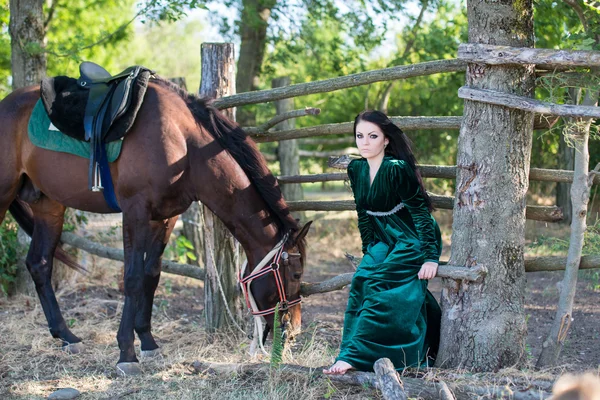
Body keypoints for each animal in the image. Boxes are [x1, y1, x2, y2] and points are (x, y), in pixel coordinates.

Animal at [0, 77, 310, 376]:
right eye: (295, 275)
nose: (294, 329)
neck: (184, 145)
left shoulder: (165, 218)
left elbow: (151, 274)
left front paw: (148, 342)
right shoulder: (135, 212)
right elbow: (133, 278)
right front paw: (126, 353)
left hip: (49, 205)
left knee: (39, 264)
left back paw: (67, 336)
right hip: (6, 194)